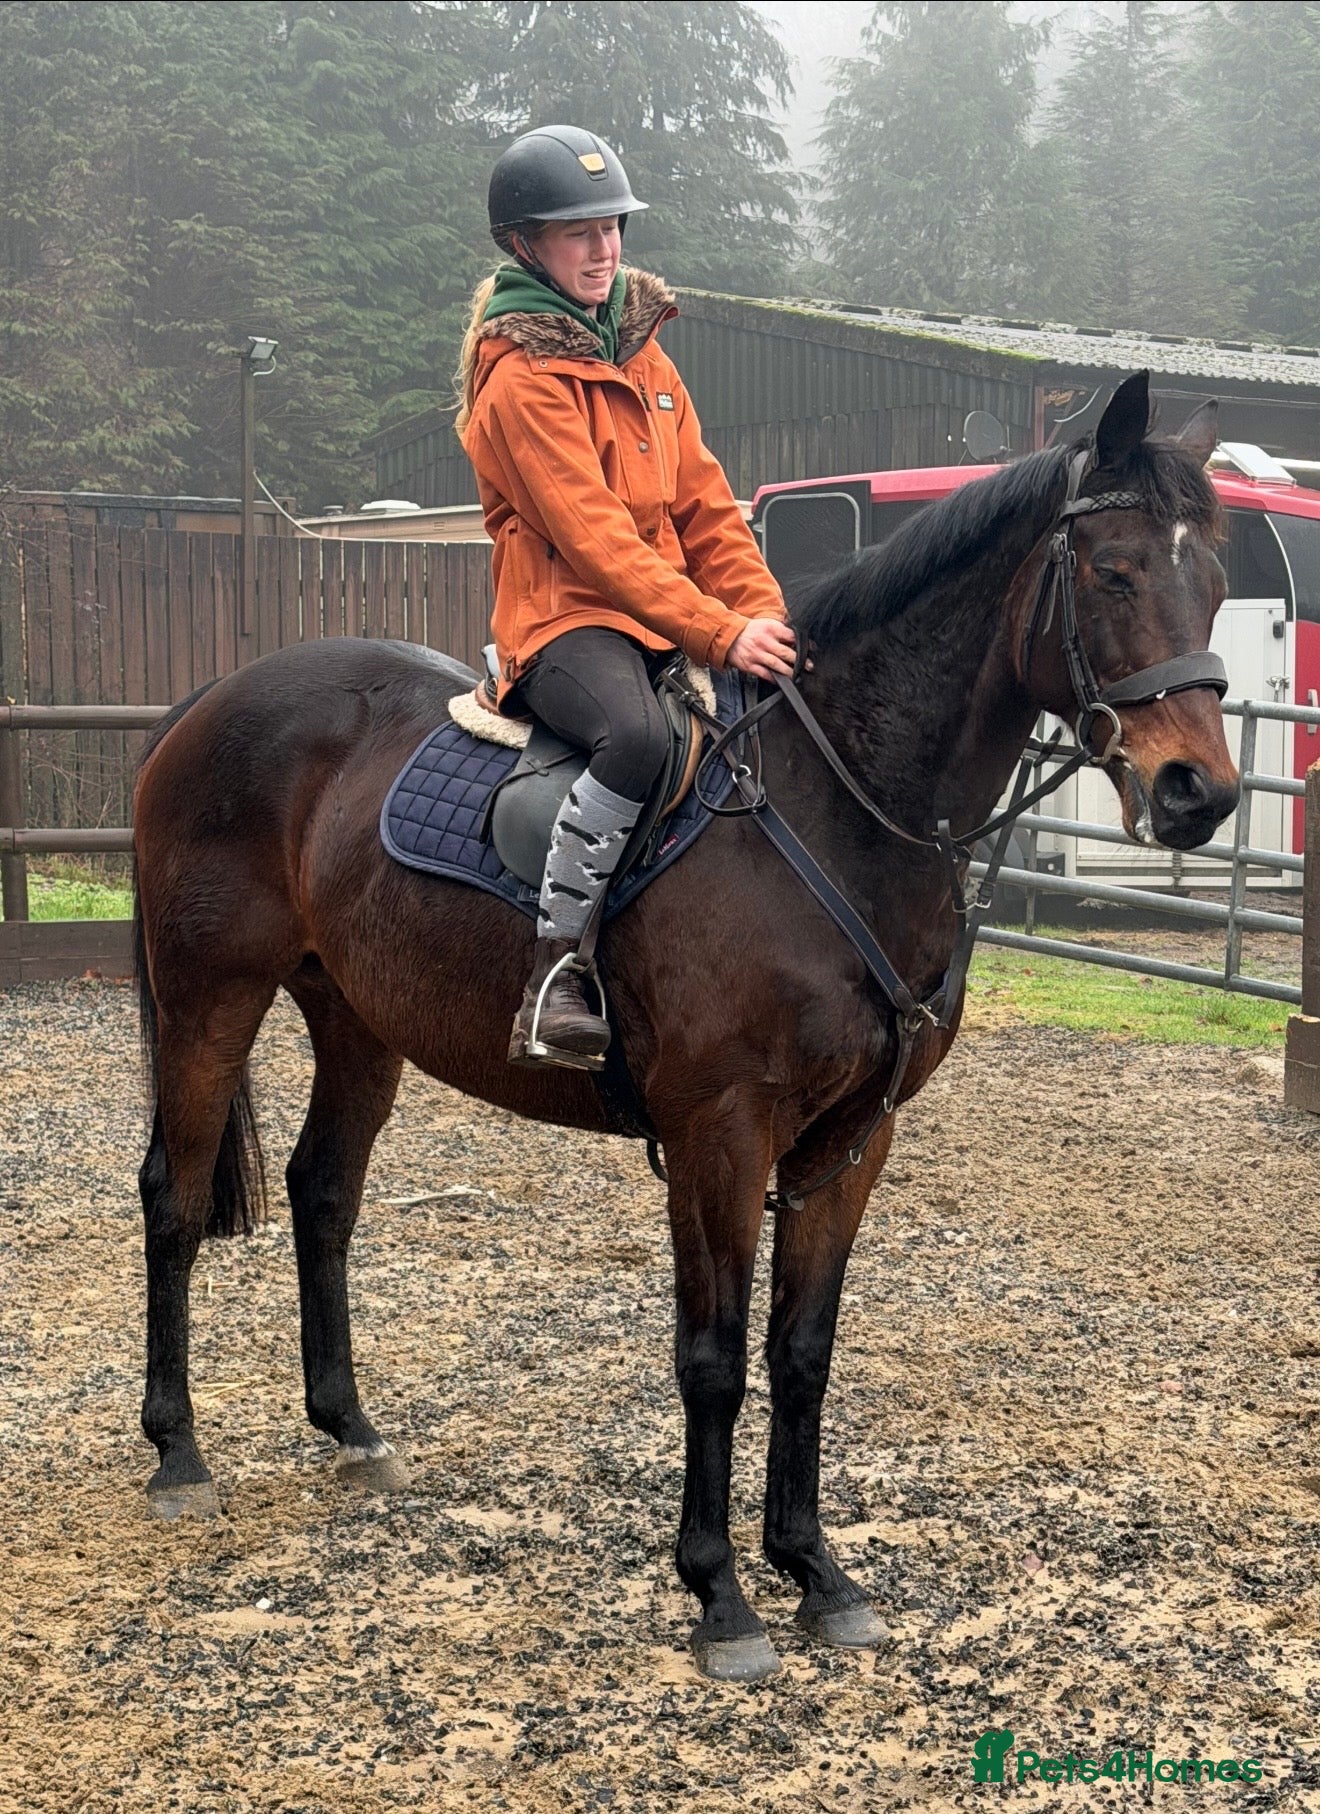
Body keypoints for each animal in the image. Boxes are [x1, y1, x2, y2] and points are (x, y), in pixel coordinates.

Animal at [131, 373, 1238, 1682]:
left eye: (1217, 580)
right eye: (1113, 570)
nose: (1199, 793)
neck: (835, 806)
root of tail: (212, 699)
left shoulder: (850, 1140)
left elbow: (802, 1349)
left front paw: (815, 1569)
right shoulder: (720, 1131)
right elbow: (711, 1357)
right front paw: (720, 1592)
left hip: (357, 1016)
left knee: (323, 1193)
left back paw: (349, 1426)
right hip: (211, 996)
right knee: (173, 1195)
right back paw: (177, 1451)